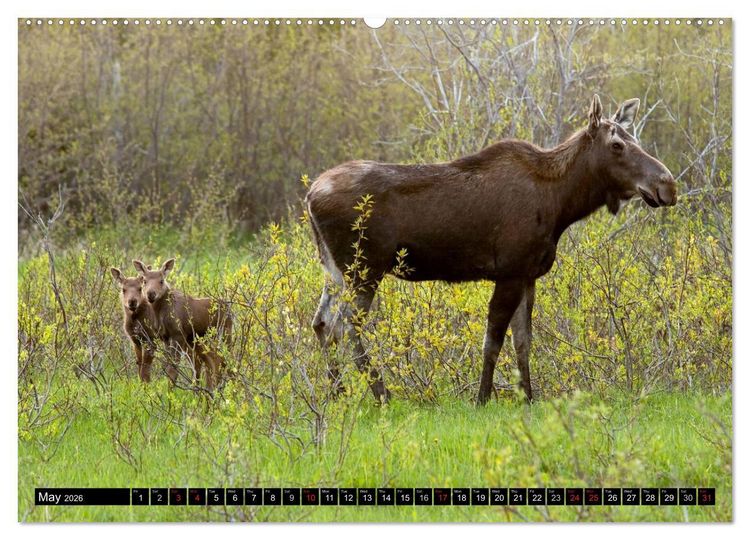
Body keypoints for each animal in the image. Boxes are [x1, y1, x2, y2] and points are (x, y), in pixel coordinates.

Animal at [133, 259, 232, 391]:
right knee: (213, 360)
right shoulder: (165, 337)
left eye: (161, 280)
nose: (151, 294)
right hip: (199, 339)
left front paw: (170, 392)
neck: (160, 312)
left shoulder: (178, 334)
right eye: (144, 280)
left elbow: (173, 368)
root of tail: (230, 310)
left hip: (224, 333)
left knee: (225, 358)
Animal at [306, 95, 678, 405]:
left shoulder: (528, 275)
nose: (667, 184)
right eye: (616, 144)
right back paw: (381, 394)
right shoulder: (509, 272)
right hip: (364, 269)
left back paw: (337, 394)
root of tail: (310, 196)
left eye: (635, 140)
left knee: (322, 323)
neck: (561, 204)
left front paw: (528, 398)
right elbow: (493, 341)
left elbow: (523, 341)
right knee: (346, 325)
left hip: (334, 271)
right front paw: (483, 398)